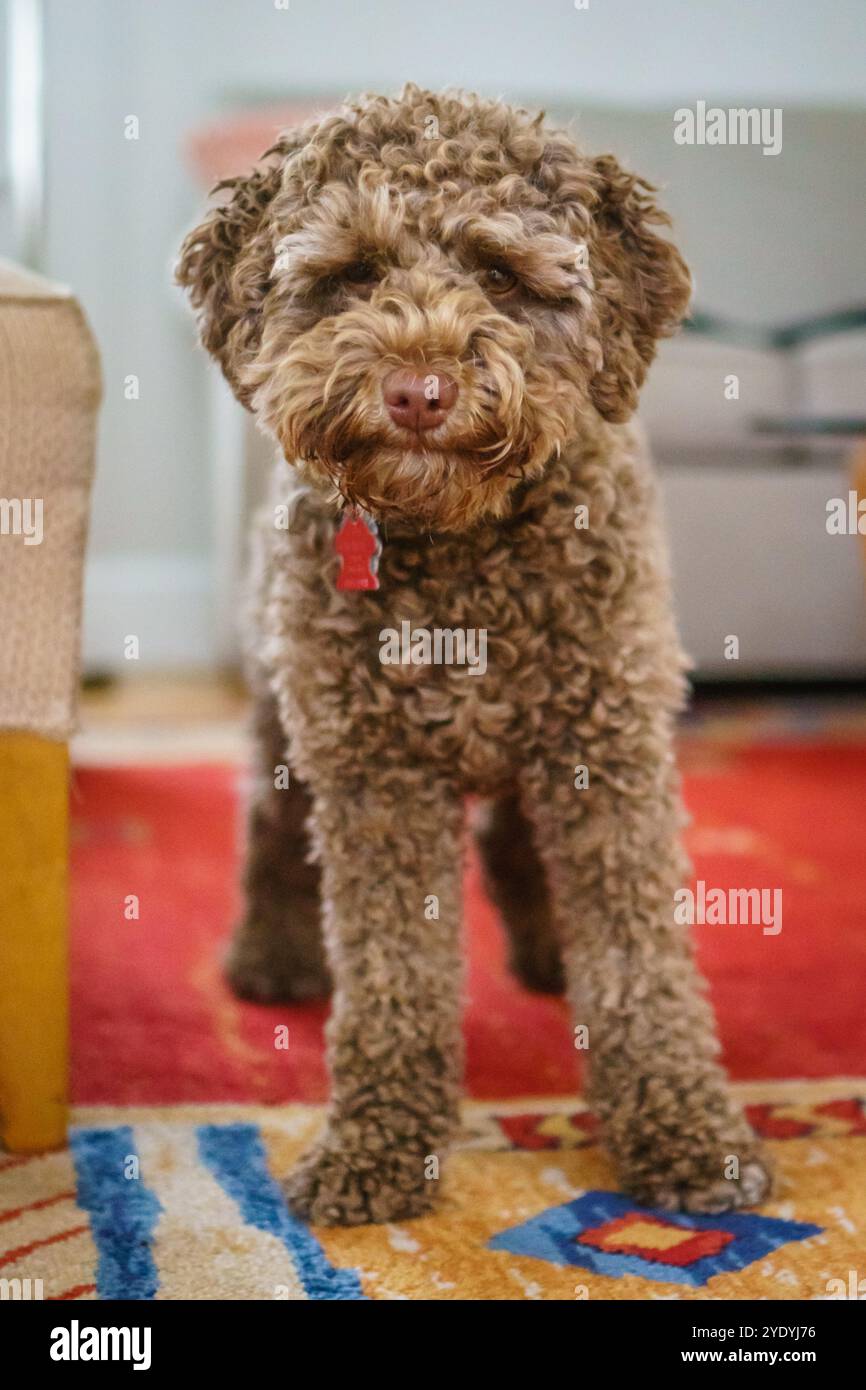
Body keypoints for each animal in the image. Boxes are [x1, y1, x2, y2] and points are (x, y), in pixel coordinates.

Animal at [177, 81, 772, 1223]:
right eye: (353, 273)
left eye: (500, 273)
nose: (418, 389)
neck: (459, 546)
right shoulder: (375, 773)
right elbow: (394, 976)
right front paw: (377, 1146)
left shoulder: (610, 748)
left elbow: (641, 964)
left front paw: (683, 1132)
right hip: (282, 704)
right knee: (270, 826)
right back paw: (272, 955)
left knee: (515, 839)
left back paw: (546, 950)